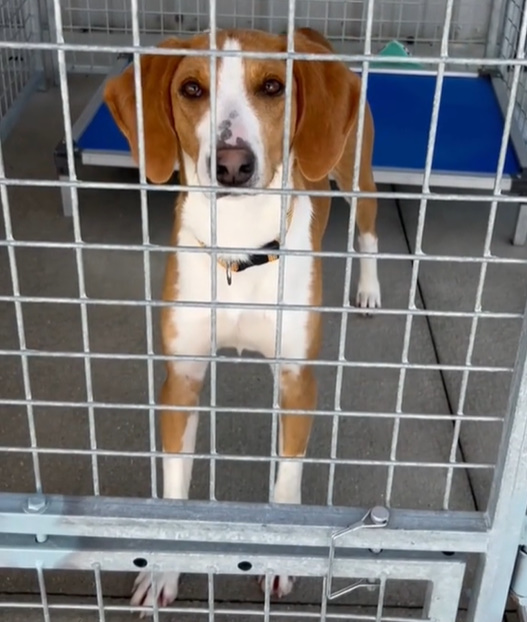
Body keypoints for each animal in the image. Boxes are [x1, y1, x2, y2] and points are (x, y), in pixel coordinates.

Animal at [105, 26, 382, 612]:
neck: (239, 247)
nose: (233, 163)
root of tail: (309, 34)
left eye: (273, 86)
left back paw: (368, 289)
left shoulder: (298, 380)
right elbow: (175, 488)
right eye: (191, 88)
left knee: (369, 230)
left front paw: (277, 561)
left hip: (357, 174)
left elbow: (286, 484)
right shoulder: (181, 379)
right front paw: (163, 568)